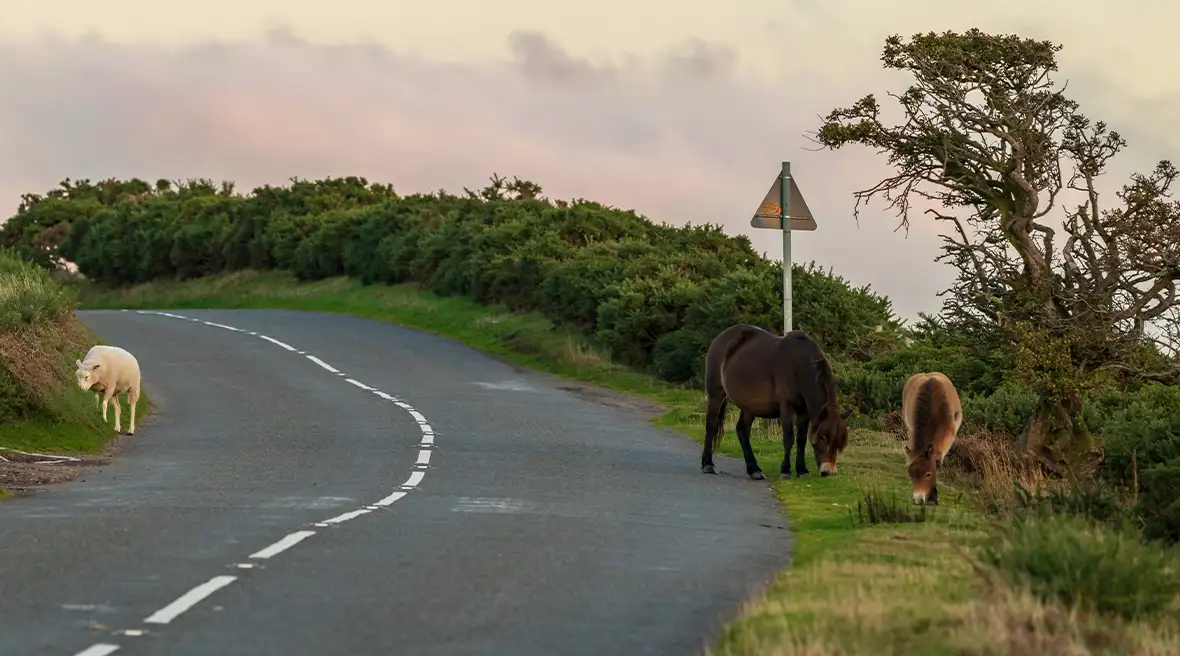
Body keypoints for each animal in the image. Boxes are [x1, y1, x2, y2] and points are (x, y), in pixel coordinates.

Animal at [701, 324, 852, 480]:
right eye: (822, 438)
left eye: (839, 441)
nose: (829, 472)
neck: (799, 366)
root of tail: (720, 338)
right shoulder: (786, 407)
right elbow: (789, 438)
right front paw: (785, 470)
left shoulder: (804, 412)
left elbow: (801, 439)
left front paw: (802, 470)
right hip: (716, 395)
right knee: (711, 425)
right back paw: (708, 465)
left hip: (749, 407)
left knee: (742, 430)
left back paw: (754, 469)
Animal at [901, 372, 962, 505]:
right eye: (911, 474)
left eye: (928, 474)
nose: (918, 499)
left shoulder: (947, 439)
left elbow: (938, 462)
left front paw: (934, 496)